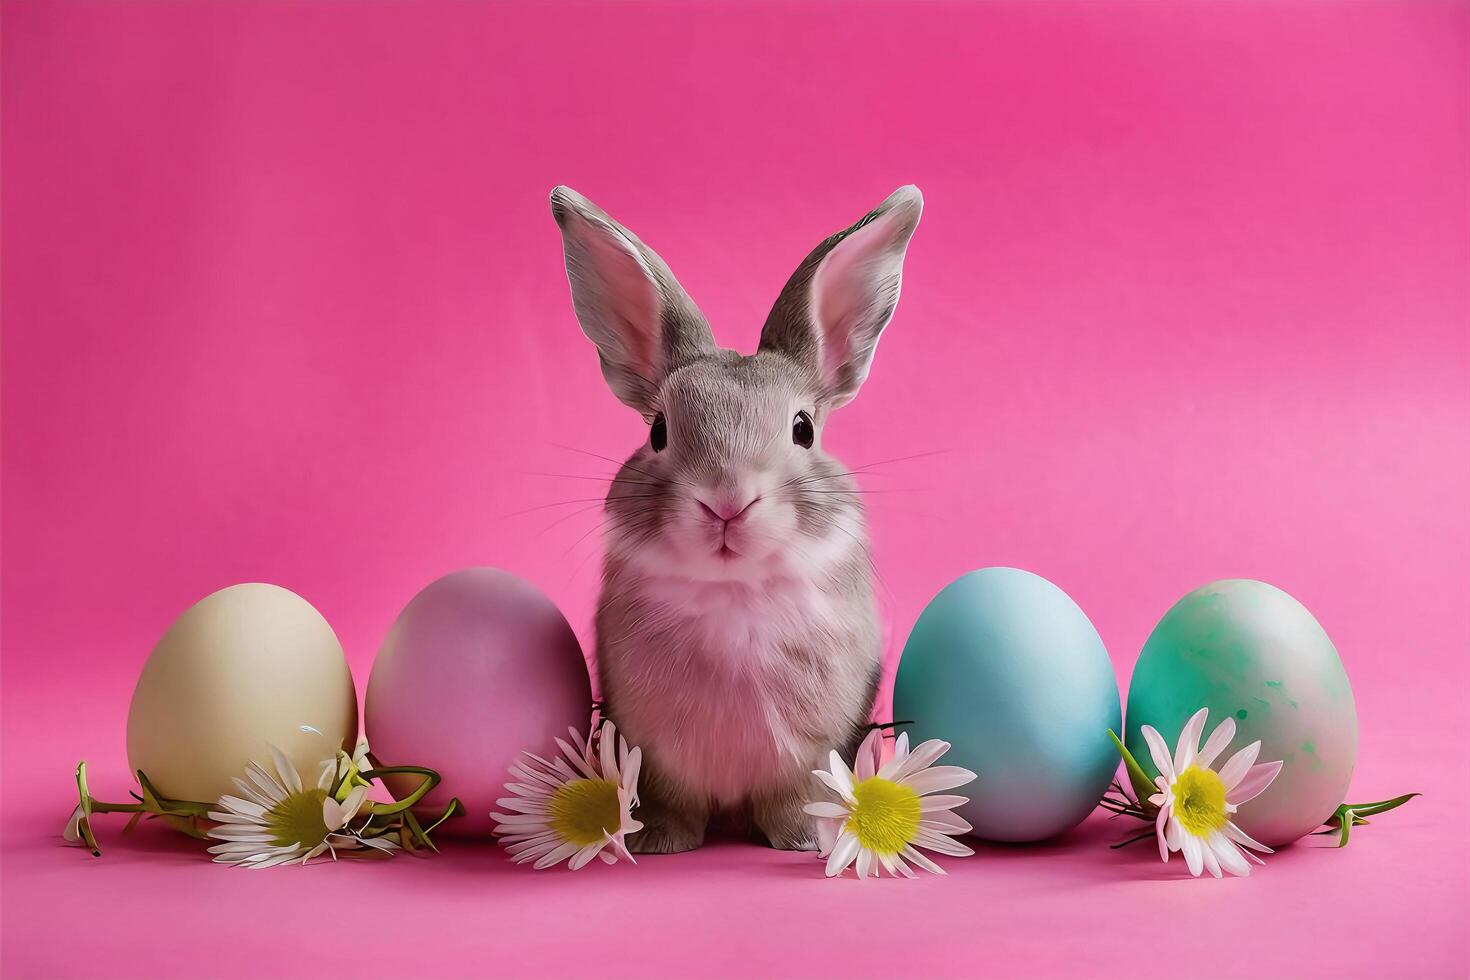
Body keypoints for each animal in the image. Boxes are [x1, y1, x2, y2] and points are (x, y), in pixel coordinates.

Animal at [552, 182, 917, 852]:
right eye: (658, 431)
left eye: (803, 429)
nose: (727, 499)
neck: (734, 590)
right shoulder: (656, 753)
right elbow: (671, 801)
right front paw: (658, 840)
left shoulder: (808, 754)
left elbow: (792, 799)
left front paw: (805, 840)